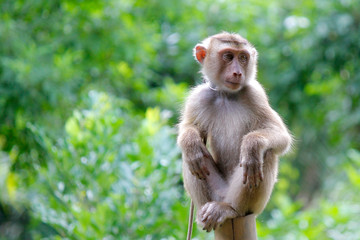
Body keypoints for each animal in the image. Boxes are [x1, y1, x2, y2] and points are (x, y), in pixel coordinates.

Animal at [177, 31, 292, 232]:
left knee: (266, 153)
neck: (226, 95)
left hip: (247, 201)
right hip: (215, 191)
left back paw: (230, 209)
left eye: (243, 58)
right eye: (229, 56)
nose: (238, 72)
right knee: (191, 158)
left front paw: (252, 146)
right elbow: (188, 129)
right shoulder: (198, 98)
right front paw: (190, 141)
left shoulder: (256, 94)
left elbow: (279, 136)